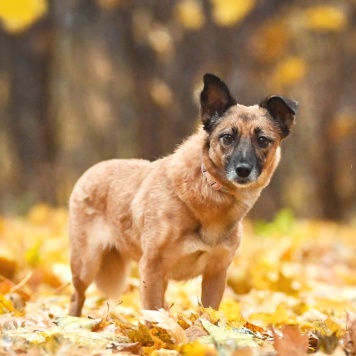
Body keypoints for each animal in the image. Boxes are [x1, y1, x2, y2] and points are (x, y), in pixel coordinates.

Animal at [67, 73, 298, 316]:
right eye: (227, 137)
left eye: (263, 140)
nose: (243, 170)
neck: (210, 195)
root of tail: (92, 170)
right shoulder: (151, 268)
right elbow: (152, 314)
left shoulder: (216, 273)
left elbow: (208, 315)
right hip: (86, 264)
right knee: (77, 295)